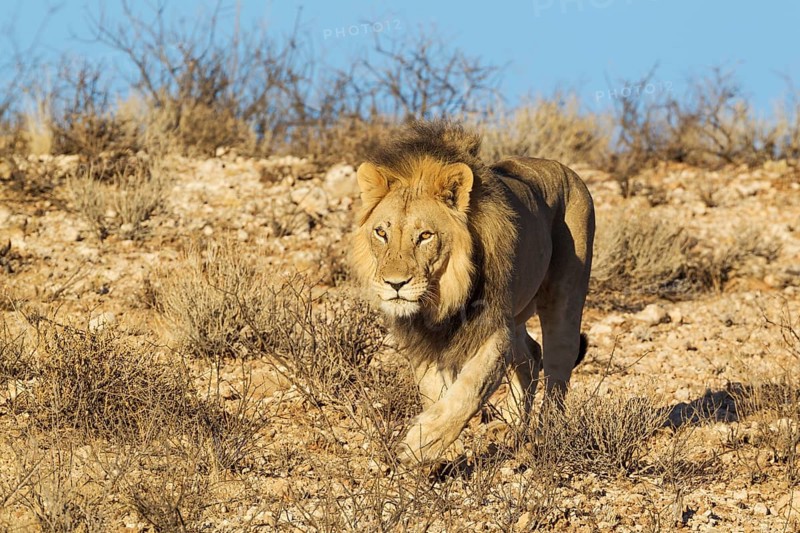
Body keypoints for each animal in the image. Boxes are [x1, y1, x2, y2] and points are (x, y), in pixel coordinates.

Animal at [351, 120, 595, 466]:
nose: (395, 284)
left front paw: (420, 443)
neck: (441, 297)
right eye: (381, 233)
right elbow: (434, 390)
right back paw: (511, 429)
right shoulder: (421, 338)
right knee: (531, 356)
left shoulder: (494, 328)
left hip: (564, 298)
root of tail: (564, 169)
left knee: (558, 367)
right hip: (516, 312)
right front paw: (439, 452)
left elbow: (469, 390)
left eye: (425, 236)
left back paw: (548, 436)